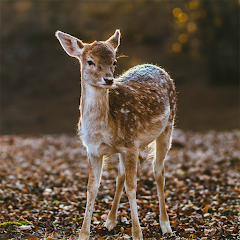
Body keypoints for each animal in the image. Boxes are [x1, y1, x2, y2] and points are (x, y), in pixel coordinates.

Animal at [55, 28, 176, 240]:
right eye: (90, 61)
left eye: (114, 62)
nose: (109, 79)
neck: (103, 130)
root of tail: (158, 67)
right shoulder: (93, 150)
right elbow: (92, 188)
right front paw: (83, 233)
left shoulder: (131, 144)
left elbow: (132, 187)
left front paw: (137, 233)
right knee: (120, 175)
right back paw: (110, 221)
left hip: (168, 127)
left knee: (158, 172)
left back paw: (166, 225)